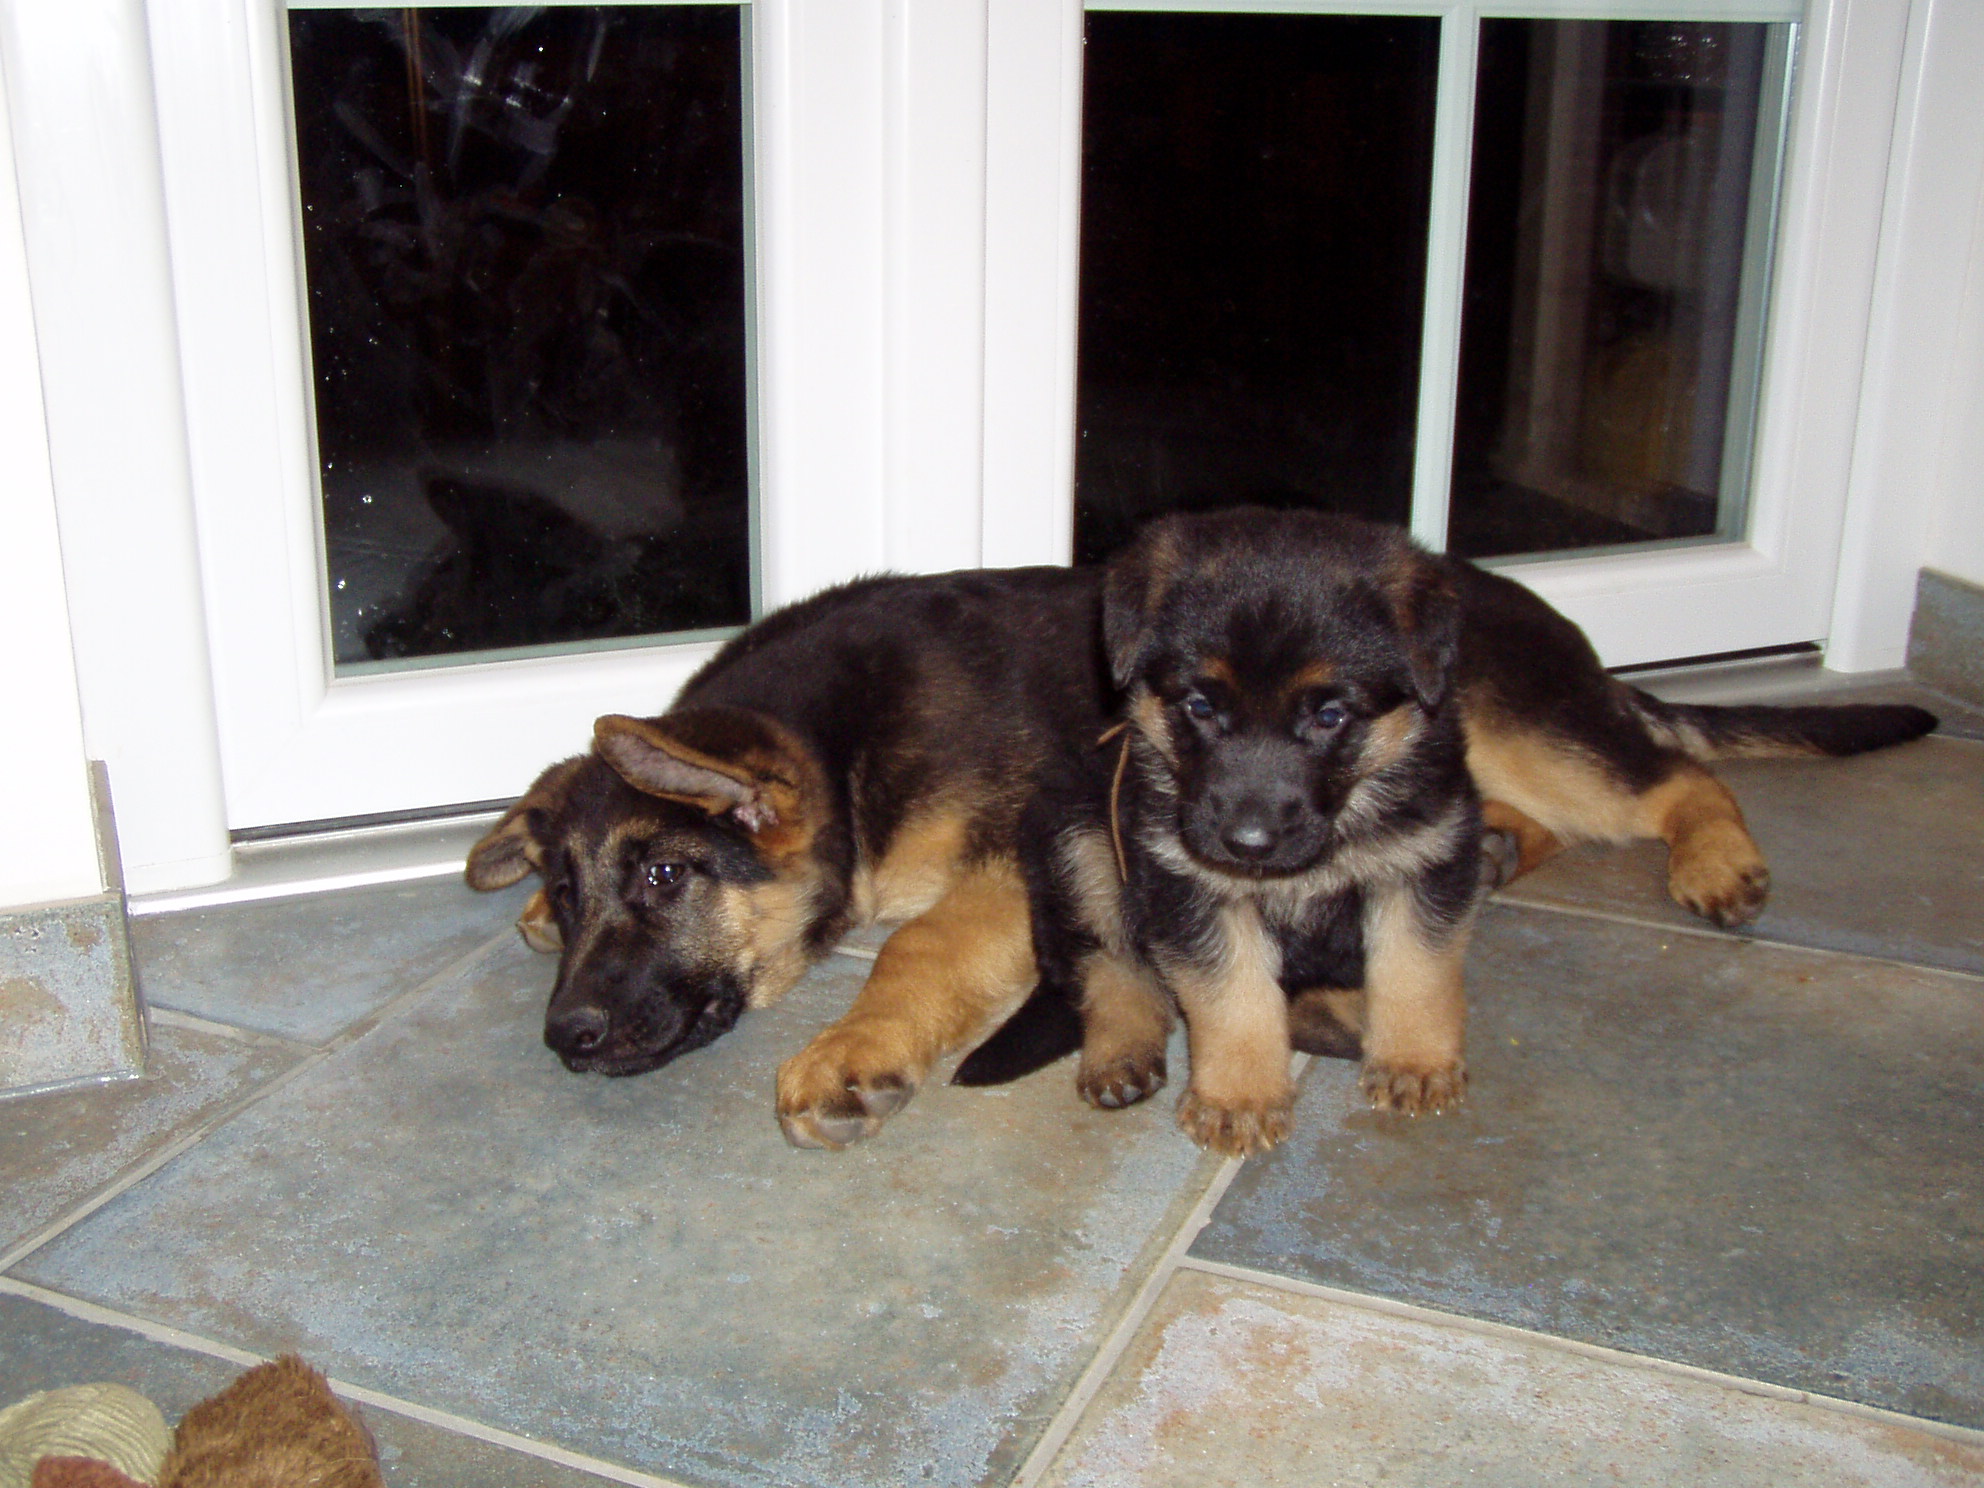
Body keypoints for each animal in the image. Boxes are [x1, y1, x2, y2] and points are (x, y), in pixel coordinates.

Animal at [470, 563, 1111, 1150]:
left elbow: (918, 941)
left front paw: (854, 1048)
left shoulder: (1024, 851)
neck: (842, 752)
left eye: (664, 874)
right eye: (565, 893)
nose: (564, 1035)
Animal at [960, 511, 1936, 1166]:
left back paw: (1718, 863)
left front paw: (1416, 1059)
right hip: (1077, 824)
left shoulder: (1421, 860)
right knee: (1106, 955)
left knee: (1676, 779)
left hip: (1523, 734)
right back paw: (1129, 1045)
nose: (1246, 840)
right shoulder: (1184, 876)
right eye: (1200, 706)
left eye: (1330, 715)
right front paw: (1240, 1093)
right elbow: (1230, 993)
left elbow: (1417, 966)